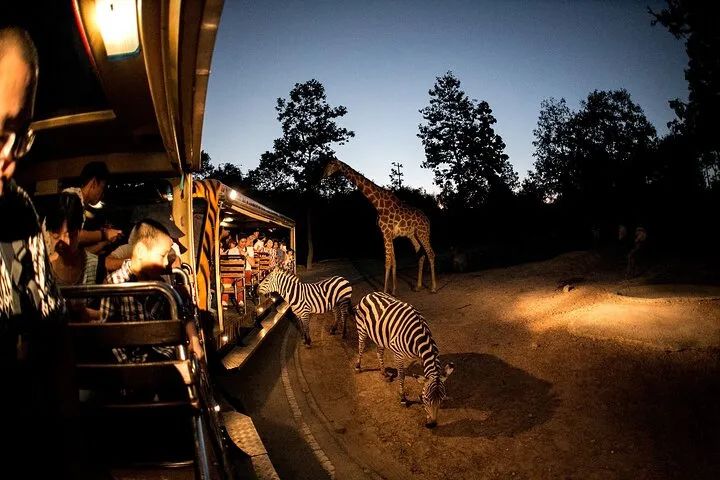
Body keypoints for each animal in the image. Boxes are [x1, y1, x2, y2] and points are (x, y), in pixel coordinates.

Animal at [322, 158, 436, 292]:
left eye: (331, 164)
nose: (323, 175)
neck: (378, 204)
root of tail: (428, 220)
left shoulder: (386, 233)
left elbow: (387, 262)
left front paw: (385, 291)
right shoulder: (388, 234)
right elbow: (393, 261)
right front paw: (394, 290)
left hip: (423, 233)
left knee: (431, 254)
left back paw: (433, 287)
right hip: (413, 235)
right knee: (421, 255)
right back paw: (418, 286)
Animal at [354, 290, 456, 426]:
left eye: (442, 399)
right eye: (426, 399)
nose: (432, 425)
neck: (419, 339)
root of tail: (370, 294)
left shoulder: (421, 357)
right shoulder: (398, 354)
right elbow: (401, 376)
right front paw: (403, 398)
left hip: (380, 336)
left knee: (379, 353)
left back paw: (384, 373)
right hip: (362, 330)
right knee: (361, 347)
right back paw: (358, 367)